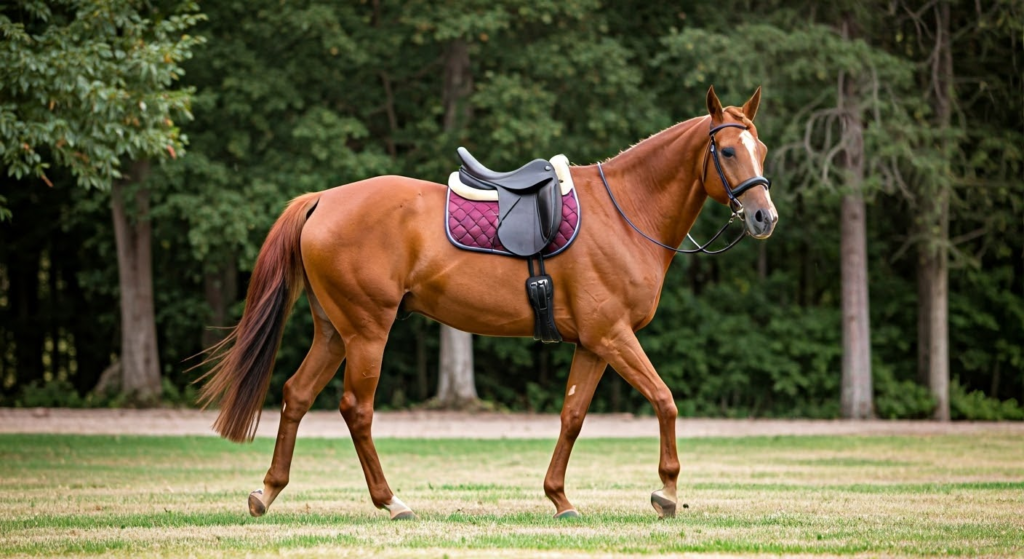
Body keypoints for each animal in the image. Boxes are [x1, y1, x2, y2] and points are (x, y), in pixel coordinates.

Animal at [197, 86, 774, 518]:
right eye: (727, 151)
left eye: (761, 151)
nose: (764, 216)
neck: (625, 211)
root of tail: (322, 200)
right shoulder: (614, 335)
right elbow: (665, 400)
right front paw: (667, 492)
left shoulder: (593, 343)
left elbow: (572, 416)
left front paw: (559, 497)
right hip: (366, 332)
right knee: (356, 409)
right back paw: (391, 501)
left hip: (334, 331)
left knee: (295, 396)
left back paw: (267, 490)